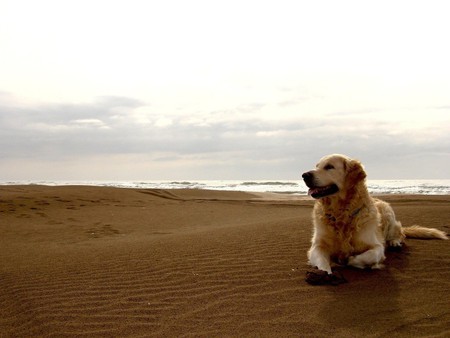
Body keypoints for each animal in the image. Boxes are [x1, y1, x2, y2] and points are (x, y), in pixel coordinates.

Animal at [302, 154, 446, 274]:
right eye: (317, 166)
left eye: (329, 167)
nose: (304, 175)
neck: (342, 213)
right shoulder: (317, 246)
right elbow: (322, 262)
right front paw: (325, 273)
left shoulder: (376, 246)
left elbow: (368, 256)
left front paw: (349, 260)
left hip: (388, 213)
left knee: (400, 234)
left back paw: (394, 242)